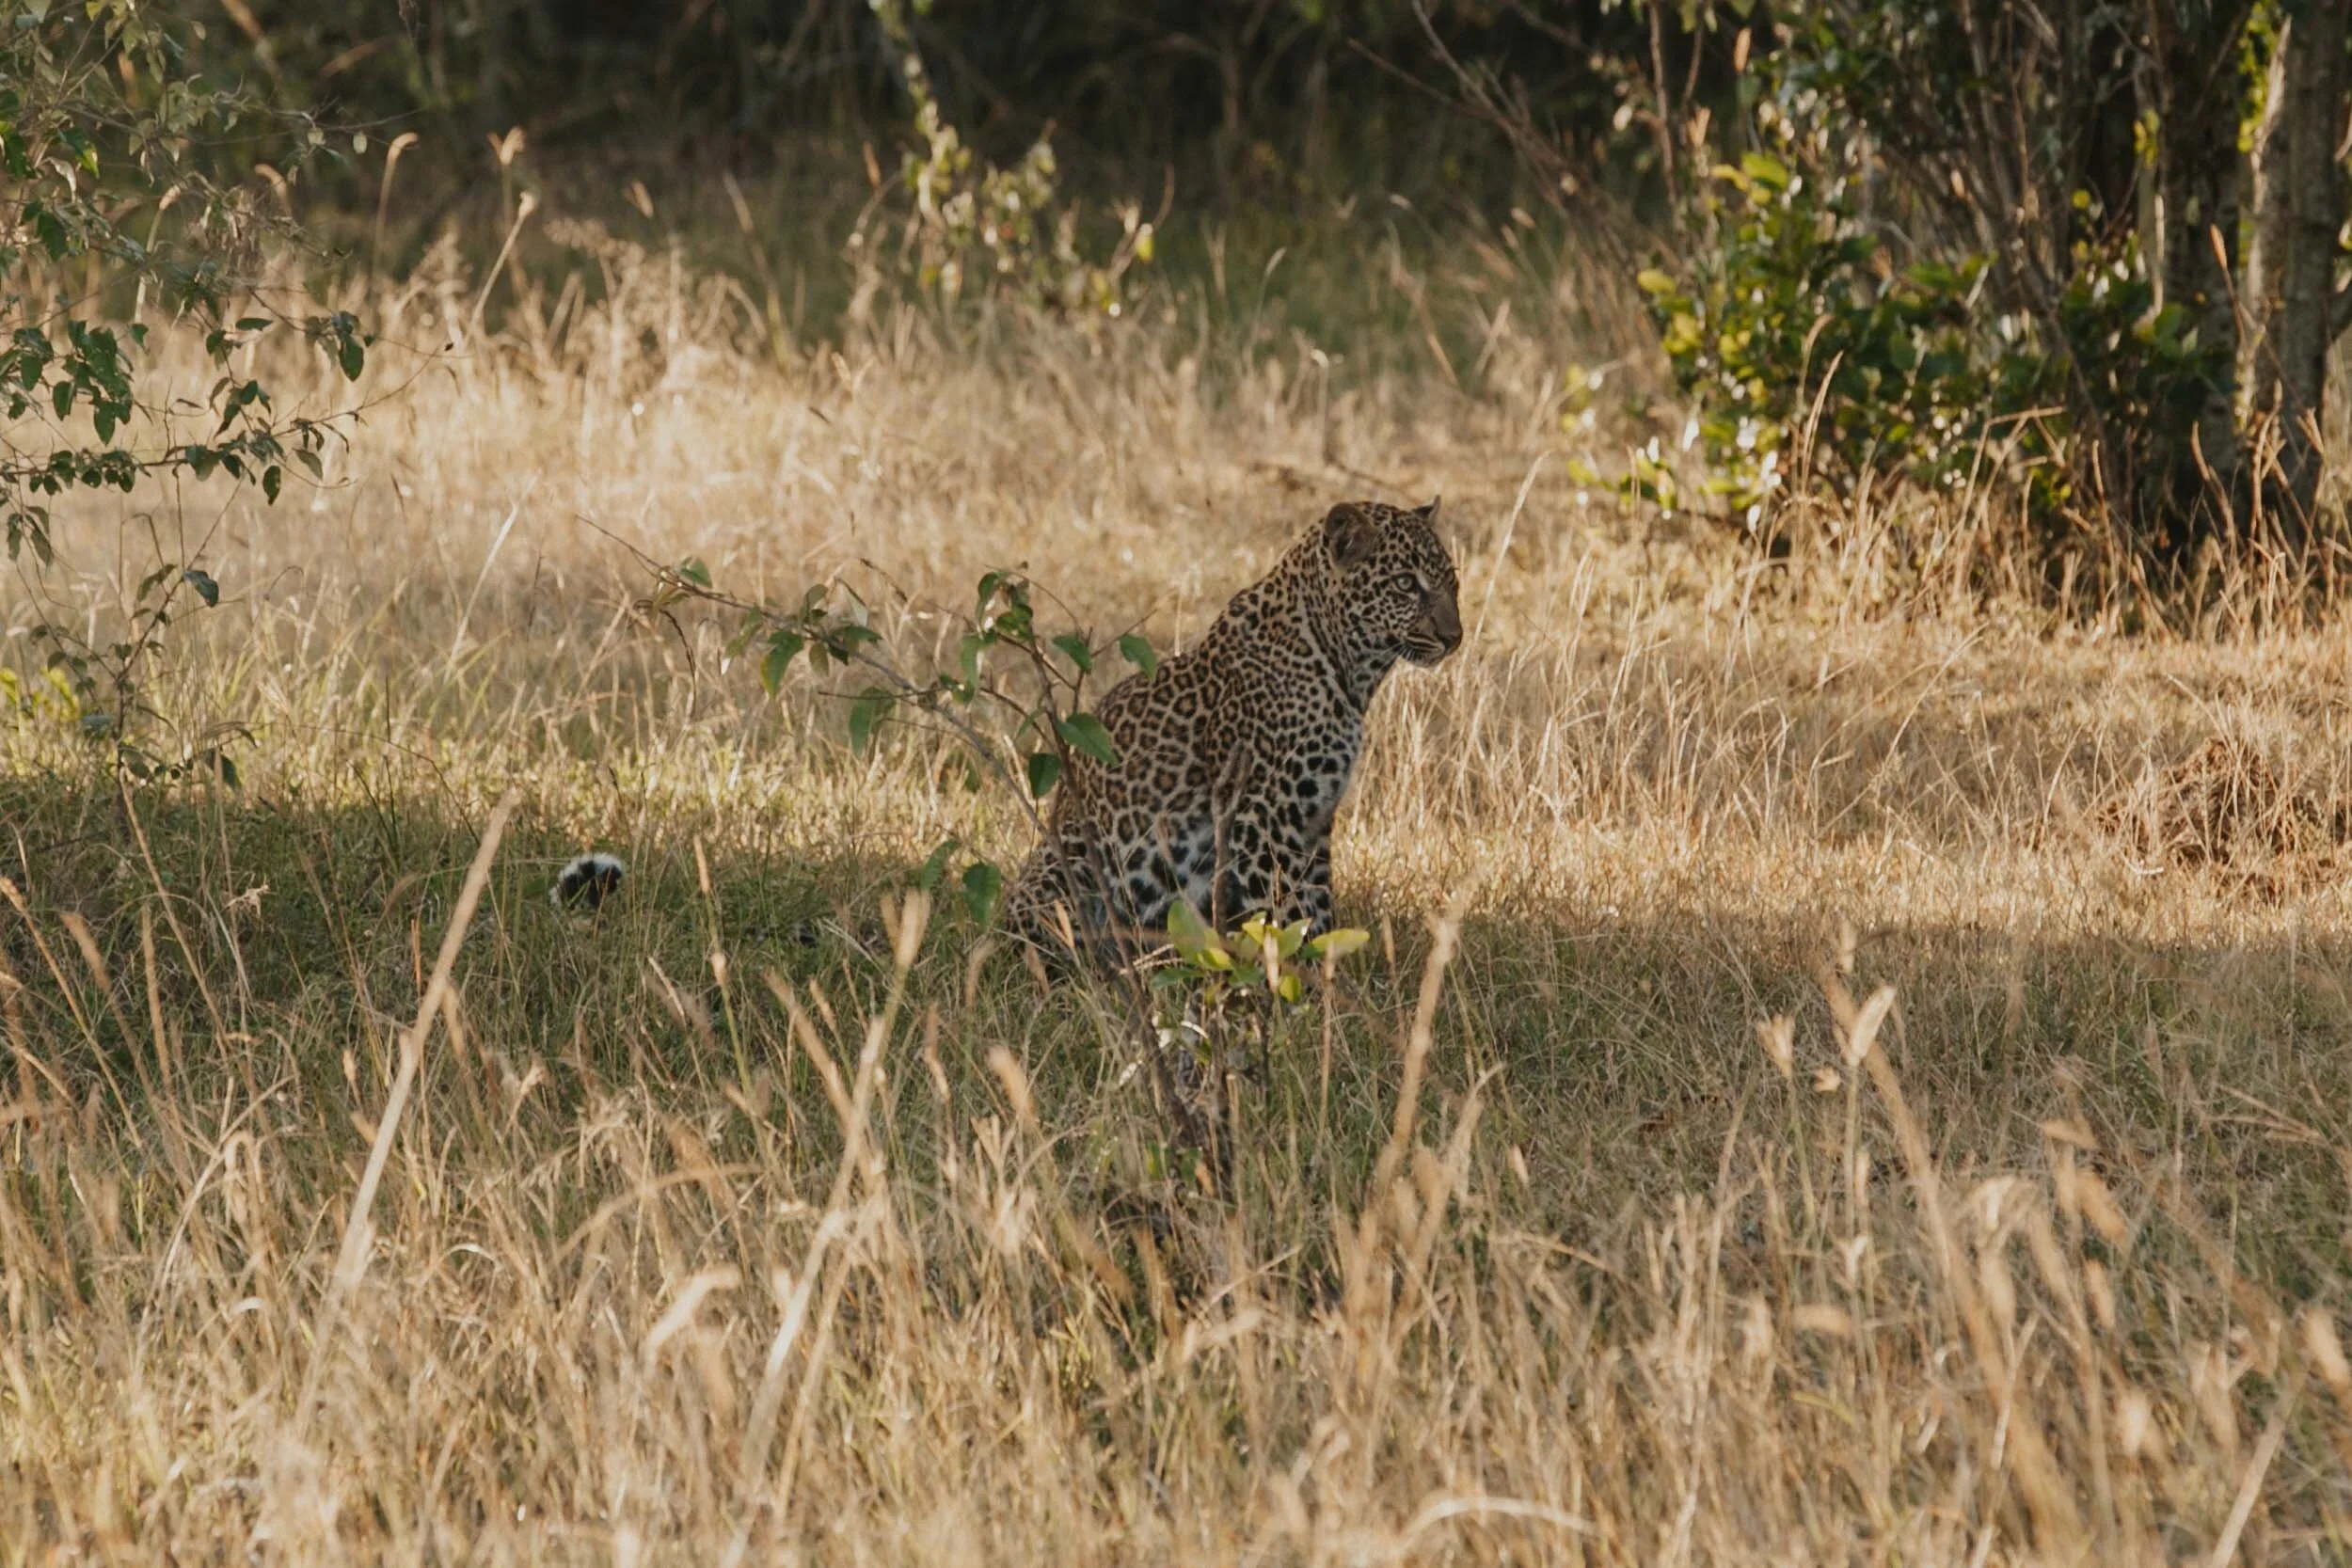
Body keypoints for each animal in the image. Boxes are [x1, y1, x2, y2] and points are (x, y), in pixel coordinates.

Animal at [1004, 498, 1462, 961]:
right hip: (1066, 870)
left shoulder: (1315, 825)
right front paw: (1293, 978)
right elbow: (1285, 917)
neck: (1350, 672)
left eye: (1452, 581)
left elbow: (1317, 912)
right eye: (1405, 584)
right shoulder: (1265, 818)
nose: (1454, 637)